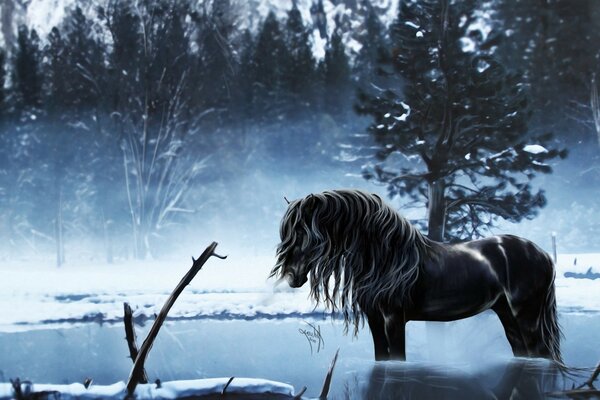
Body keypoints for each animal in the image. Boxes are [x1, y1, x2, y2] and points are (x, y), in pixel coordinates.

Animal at [272, 190, 564, 362]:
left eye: (304, 233)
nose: (292, 277)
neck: (386, 259)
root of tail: (542, 254)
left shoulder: (393, 319)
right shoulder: (375, 319)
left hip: (526, 316)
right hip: (507, 315)